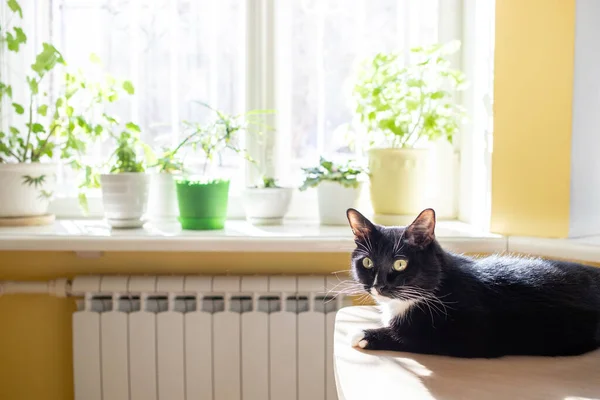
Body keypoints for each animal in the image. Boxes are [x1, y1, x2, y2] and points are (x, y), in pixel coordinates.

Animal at [346, 208, 600, 358]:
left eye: (400, 264)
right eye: (368, 262)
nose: (379, 286)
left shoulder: (471, 335)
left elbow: (414, 337)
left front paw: (365, 334)